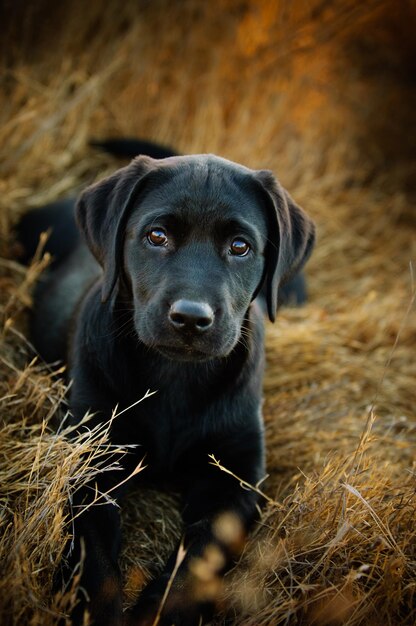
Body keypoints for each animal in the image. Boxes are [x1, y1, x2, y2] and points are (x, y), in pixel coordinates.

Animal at [17, 145, 314, 624]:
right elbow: (93, 557)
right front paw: (96, 611)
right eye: (156, 236)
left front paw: (161, 612)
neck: (176, 377)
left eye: (240, 246)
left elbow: (202, 553)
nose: (191, 318)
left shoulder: (238, 475)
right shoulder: (87, 456)